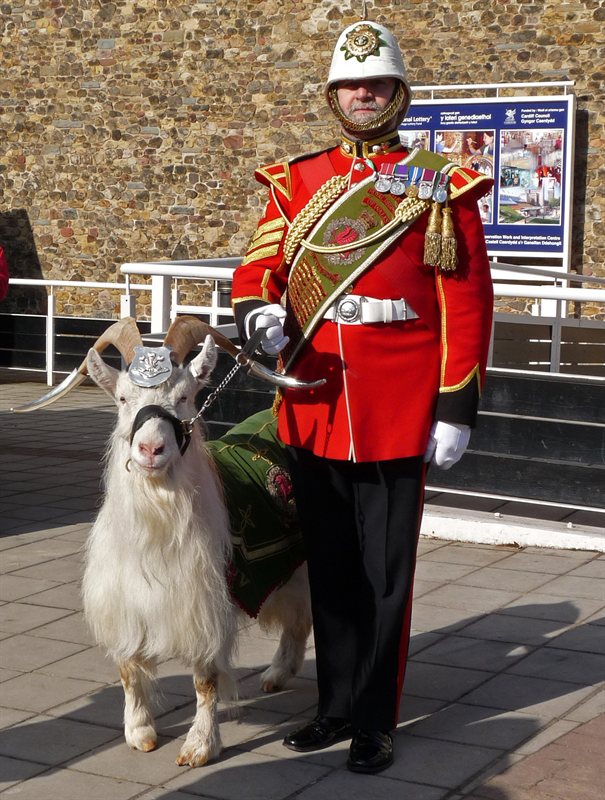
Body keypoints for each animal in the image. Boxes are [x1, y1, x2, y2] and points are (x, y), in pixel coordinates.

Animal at [16, 316, 312, 767]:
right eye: (122, 398)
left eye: (185, 396)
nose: (151, 449)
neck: (155, 526)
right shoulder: (124, 603)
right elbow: (127, 667)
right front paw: (140, 732)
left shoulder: (203, 607)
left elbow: (206, 680)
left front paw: (199, 746)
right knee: (298, 618)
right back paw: (277, 674)